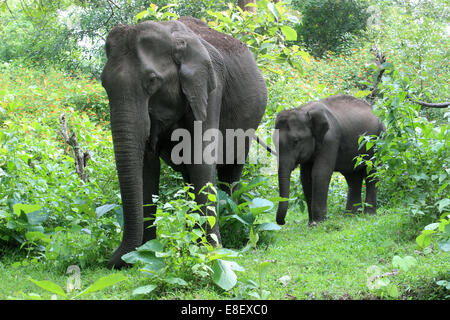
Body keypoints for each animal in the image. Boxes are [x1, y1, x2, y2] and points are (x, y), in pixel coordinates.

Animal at [102, 16, 268, 268]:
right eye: (103, 84)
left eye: (152, 81)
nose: (114, 261)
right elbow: (147, 167)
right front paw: (146, 253)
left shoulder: (211, 85)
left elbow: (201, 157)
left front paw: (212, 252)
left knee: (231, 168)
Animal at [272, 94, 384, 225]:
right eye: (273, 141)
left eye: (296, 141)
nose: (283, 222)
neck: (303, 110)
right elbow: (305, 177)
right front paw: (311, 224)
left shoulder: (330, 139)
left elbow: (320, 173)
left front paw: (319, 223)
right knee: (352, 177)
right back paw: (350, 216)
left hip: (379, 140)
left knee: (372, 172)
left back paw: (369, 215)